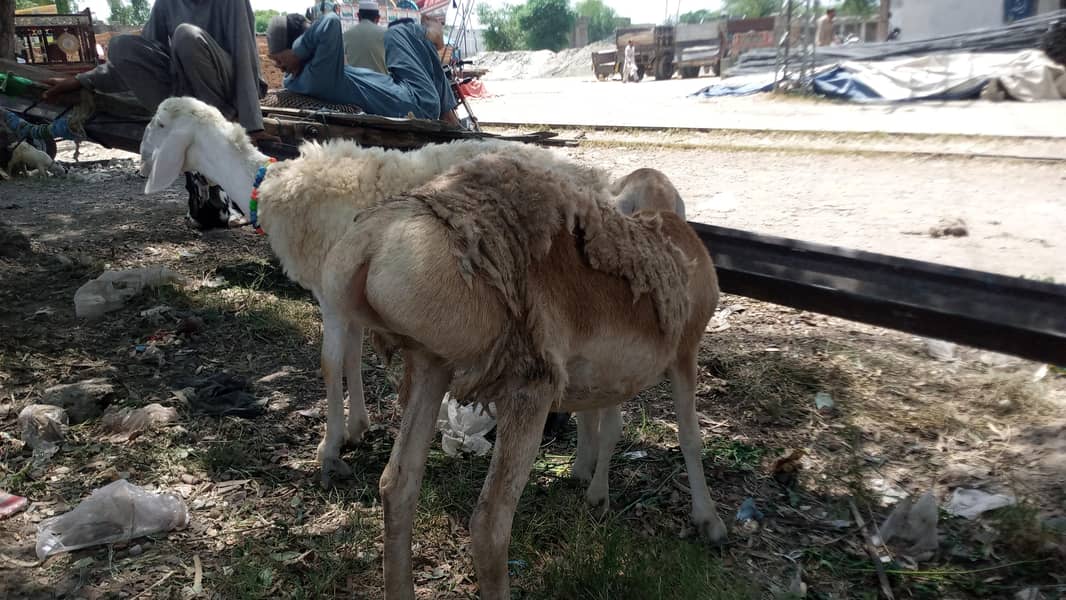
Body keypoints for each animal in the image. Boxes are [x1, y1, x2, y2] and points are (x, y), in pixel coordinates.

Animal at [138, 96, 607, 487]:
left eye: (158, 125)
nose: (142, 165)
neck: (269, 185)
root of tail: (593, 184)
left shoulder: (330, 297)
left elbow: (329, 364)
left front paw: (328, 448)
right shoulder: (349, 299)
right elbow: (351, 357)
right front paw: (356, 429)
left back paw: (584, 473)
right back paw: (582, 466)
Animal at [324, 152, 725, 599]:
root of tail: (370, 243)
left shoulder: (606, 375)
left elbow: (603, 424)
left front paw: (590, 483)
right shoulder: (685, 354)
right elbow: (689, 438)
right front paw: (708, 520)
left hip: (431, 366)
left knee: (398, 485)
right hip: (525, 385)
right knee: (489, 524)